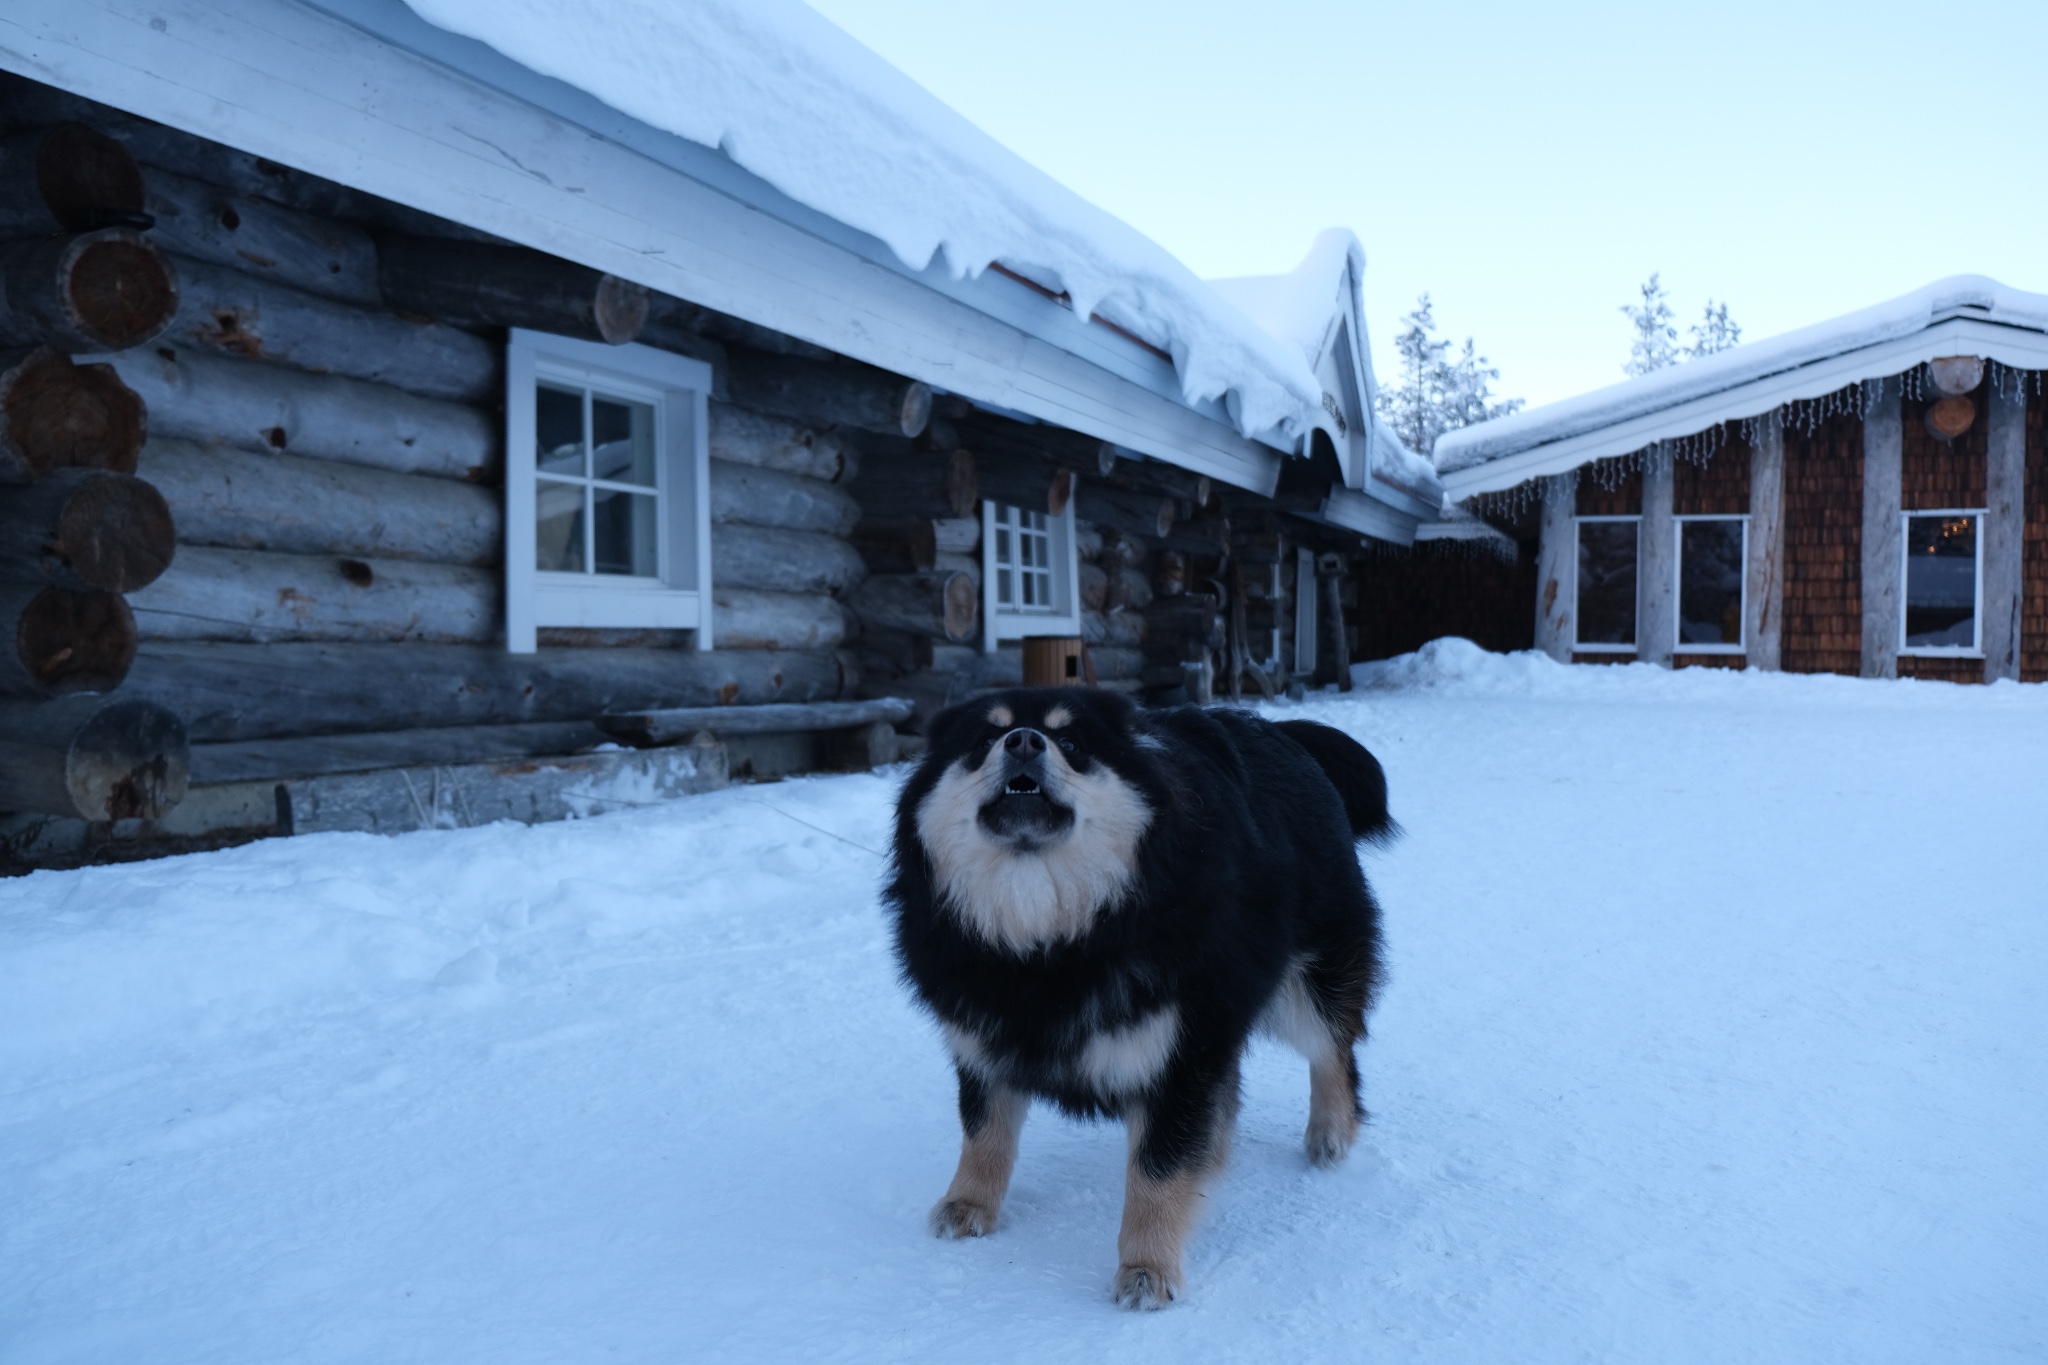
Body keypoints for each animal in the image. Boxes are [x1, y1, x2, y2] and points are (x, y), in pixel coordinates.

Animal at [892, 687, 1392, 1309]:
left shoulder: (1180, 1056)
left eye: (1072, 743)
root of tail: (1284, 734)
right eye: (984, 738)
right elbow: (984, 1132)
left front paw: (1147, 1268)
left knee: (1334, 1051)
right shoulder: (984, 1036)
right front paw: (968, 1204)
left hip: (1308, 981)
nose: (1024, 741)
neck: (1047, 939)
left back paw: (1330, 1134)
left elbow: (1158, 1168)